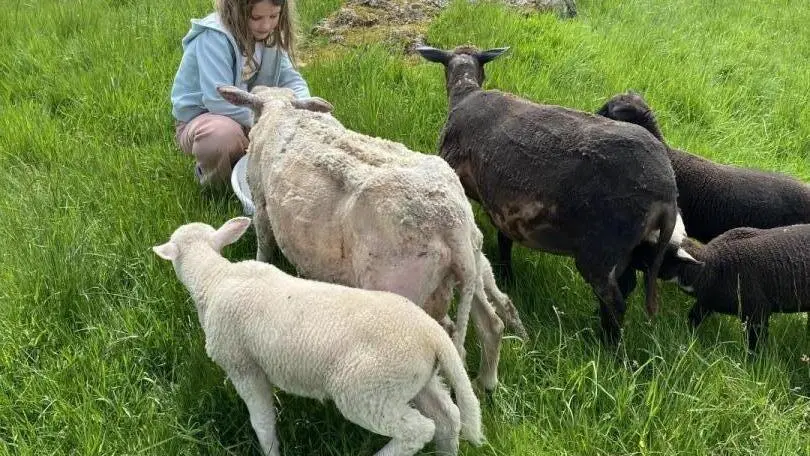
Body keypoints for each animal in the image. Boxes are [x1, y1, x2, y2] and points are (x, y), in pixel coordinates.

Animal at [152, 217, 484, 456]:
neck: (217, 278)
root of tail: (432, 334)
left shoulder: (243, 366)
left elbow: (262, 421)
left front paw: (270, 450)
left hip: (367, 391)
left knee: (419, 430)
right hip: (417, 380)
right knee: (449, 418)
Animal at [216, 85, 526, 392]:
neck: (283, 111)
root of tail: (451, 228)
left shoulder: (261, 202)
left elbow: (264, 245)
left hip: (403, 288)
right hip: (472, 264)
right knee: (492, 324)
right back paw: (487, 382)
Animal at [415, 45, 694, 343]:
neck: (465, 92)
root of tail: (668, 190)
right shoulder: (505, 206)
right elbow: (504, 239)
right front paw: (507, 275)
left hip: (600, 249)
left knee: (615, 301)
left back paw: (607, 345)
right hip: (630, 247)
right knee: (626, 287)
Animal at [634, 224, 810, 352]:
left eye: (655, 250)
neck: (712, 266)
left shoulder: (758, 312)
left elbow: (755, 344)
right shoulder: (706, 302)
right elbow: (693, 318)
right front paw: (688, 338)